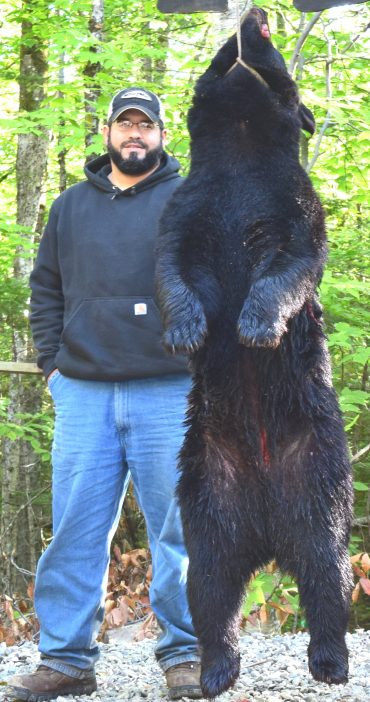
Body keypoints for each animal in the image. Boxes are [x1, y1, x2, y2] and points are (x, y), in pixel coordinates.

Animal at [155, 6, 352, 702]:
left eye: (267, 37)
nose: (257, 13)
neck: (241, 145)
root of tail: (267, 531)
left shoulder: (293, 204)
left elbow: (291, 264)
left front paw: (256, 326)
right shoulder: (188, 207)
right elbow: (170, 265)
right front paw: (187, 331)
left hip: (320, 479)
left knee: (327, 573)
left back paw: (330, 661)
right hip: (207, 492)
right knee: (209, 588)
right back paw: (215, 669)